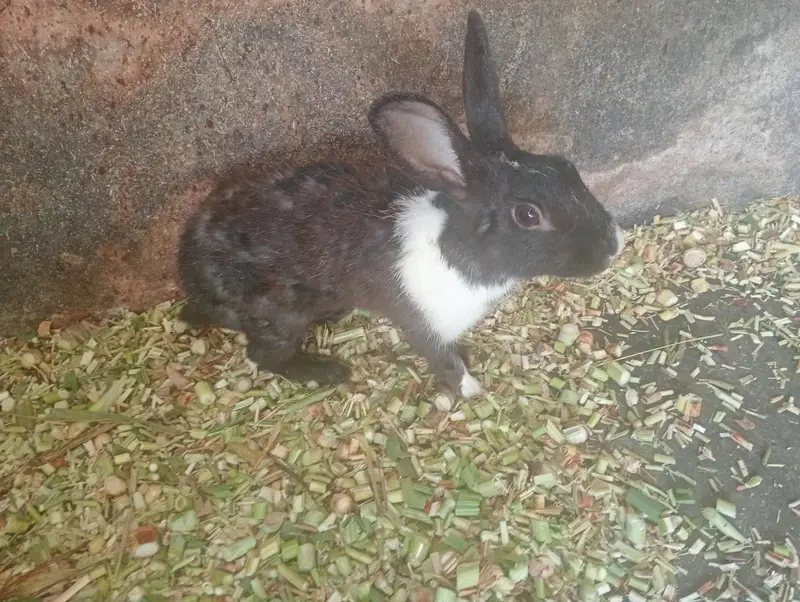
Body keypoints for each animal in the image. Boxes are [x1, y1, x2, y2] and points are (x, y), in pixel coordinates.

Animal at [177, 10, 625, 398]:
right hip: (278, 315)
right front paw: (470, 390)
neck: (461, 253)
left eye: (566, 167)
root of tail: (190, 276)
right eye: (527, 215)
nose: (613, 245)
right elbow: (444, 363)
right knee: (264, 355)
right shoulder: (422, 326)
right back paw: (326, 371)